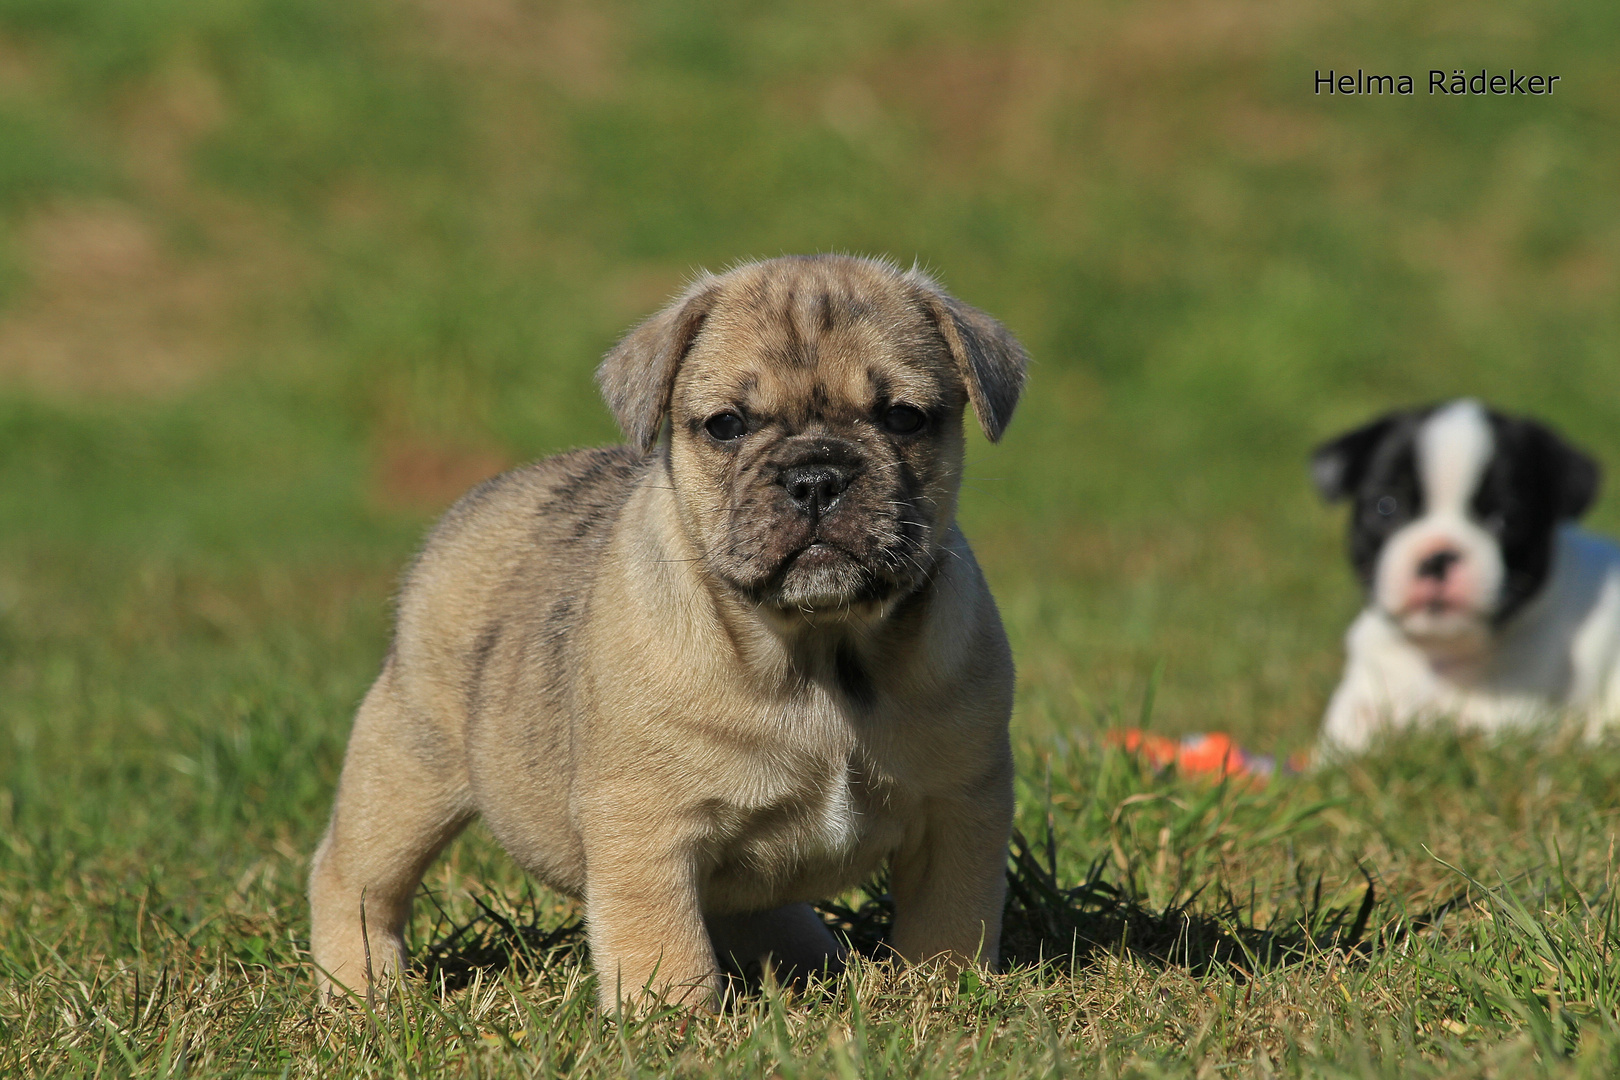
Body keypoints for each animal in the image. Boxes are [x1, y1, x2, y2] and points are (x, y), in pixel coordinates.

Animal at [306, 250, 1023, 1003]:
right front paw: (673, 1017)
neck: (817, 648)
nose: (816, 475)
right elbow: (663, 941)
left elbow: (950, 918)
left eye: (904, 418)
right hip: (408, 764)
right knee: (355, 878)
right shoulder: (647, 829)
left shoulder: (960, 807)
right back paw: (363, 990)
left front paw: (945, 992)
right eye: (726, 425)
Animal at [1308, 399, 1613, 761]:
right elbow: (1347, 731)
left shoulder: (1514, 710)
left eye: (1505, 518)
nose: (1438, 556)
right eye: (1386, 507)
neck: (1438, 656)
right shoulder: (1367, 686)